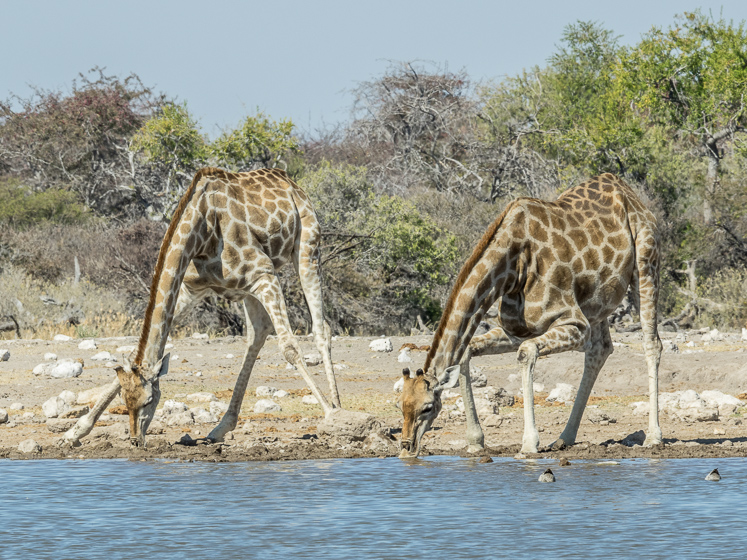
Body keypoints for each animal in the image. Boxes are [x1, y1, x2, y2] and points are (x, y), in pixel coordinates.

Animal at [65, 167, 341, 447]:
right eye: (125, 399)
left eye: (150, 400)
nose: (135, 440)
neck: (201, 232)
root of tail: (289, 181)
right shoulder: (192, 289)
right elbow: (135, 352)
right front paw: (76, 430)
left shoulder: (264, 274)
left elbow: (290, 347)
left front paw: (330, 414)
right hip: (250, 288)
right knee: (258, 334)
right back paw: (221, 427)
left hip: (307, 248)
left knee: (321, 329)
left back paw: (337, 409)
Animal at [397, 173, 662, 457]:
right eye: (400, 405)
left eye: (427, 407)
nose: (407, 449)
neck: (512, 267)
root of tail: (628, 192)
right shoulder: (518, 329)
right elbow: (467, 351)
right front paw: (475, 441)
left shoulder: (575, 323)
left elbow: (526, 353)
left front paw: (528, 443)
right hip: (598, 302)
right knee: (600, 349)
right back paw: (564, 438)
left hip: (646, 265)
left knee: (652, 344)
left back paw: (653, 436)